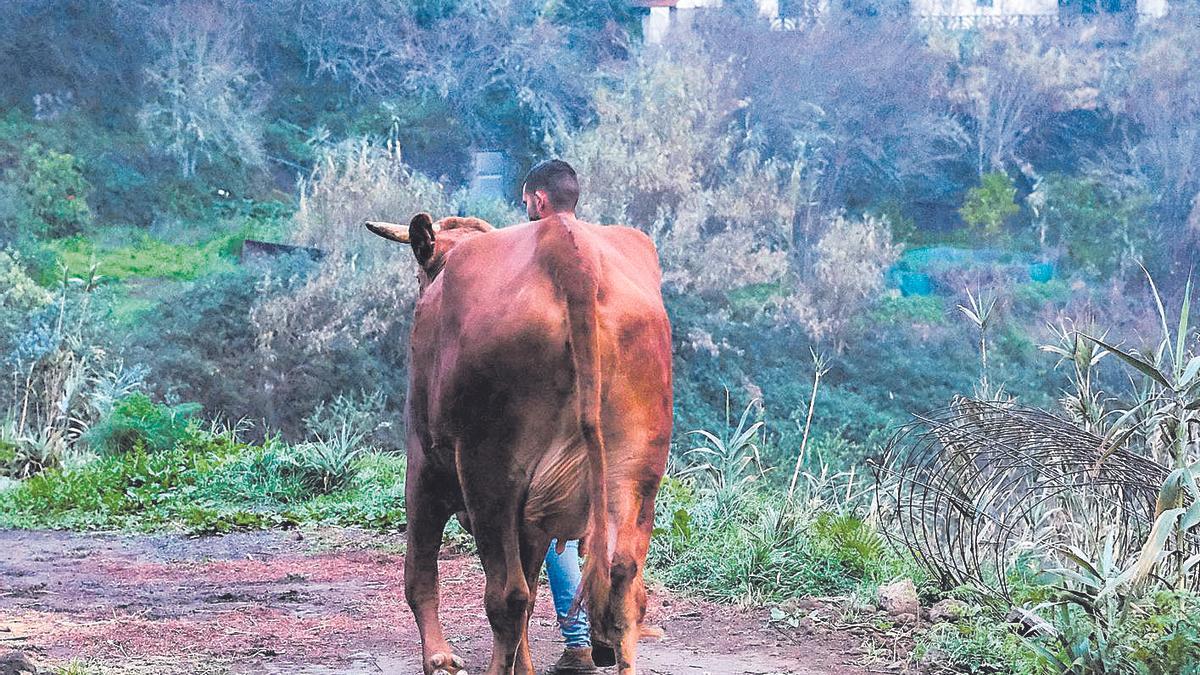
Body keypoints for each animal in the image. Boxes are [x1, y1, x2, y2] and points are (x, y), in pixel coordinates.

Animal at [360, 210, 672, 672]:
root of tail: (566, 247)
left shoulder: (422, 461)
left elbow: (420, 572)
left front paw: (439, 658)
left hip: (489, 470)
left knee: (505, 596)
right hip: (637, 470)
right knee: (622, 585)